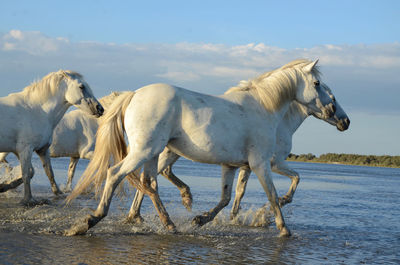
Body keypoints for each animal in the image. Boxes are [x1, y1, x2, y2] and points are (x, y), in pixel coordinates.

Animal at [0, 70, 104, 204]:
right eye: (81, 87)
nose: (100, 109)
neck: (37, 110)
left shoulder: (41, 150)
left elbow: (48, 172)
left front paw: (58, 193)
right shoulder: (25, 149)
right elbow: (26, 174)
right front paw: (28, 199)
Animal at [125, 82, 350, 223]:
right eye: (333, 98)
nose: (346, 122)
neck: (279, 122)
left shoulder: (246, 165)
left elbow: (239, 192)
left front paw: (235, 218)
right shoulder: (273, 163)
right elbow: (295, 178)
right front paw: (268, 211)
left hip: (168, 152)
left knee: (154, 176)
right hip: (158, 151)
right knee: (150, 177)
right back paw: (141, 214)